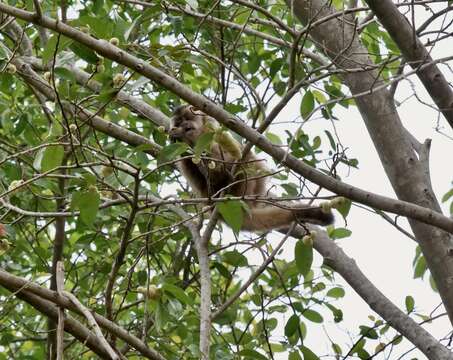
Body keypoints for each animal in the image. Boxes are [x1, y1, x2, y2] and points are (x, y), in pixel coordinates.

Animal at [170, 105, 332, 232]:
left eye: (185, 119)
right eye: (178, 122)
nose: (184, 125)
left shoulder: (211, 125)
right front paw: (180, 136)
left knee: (244, 158)